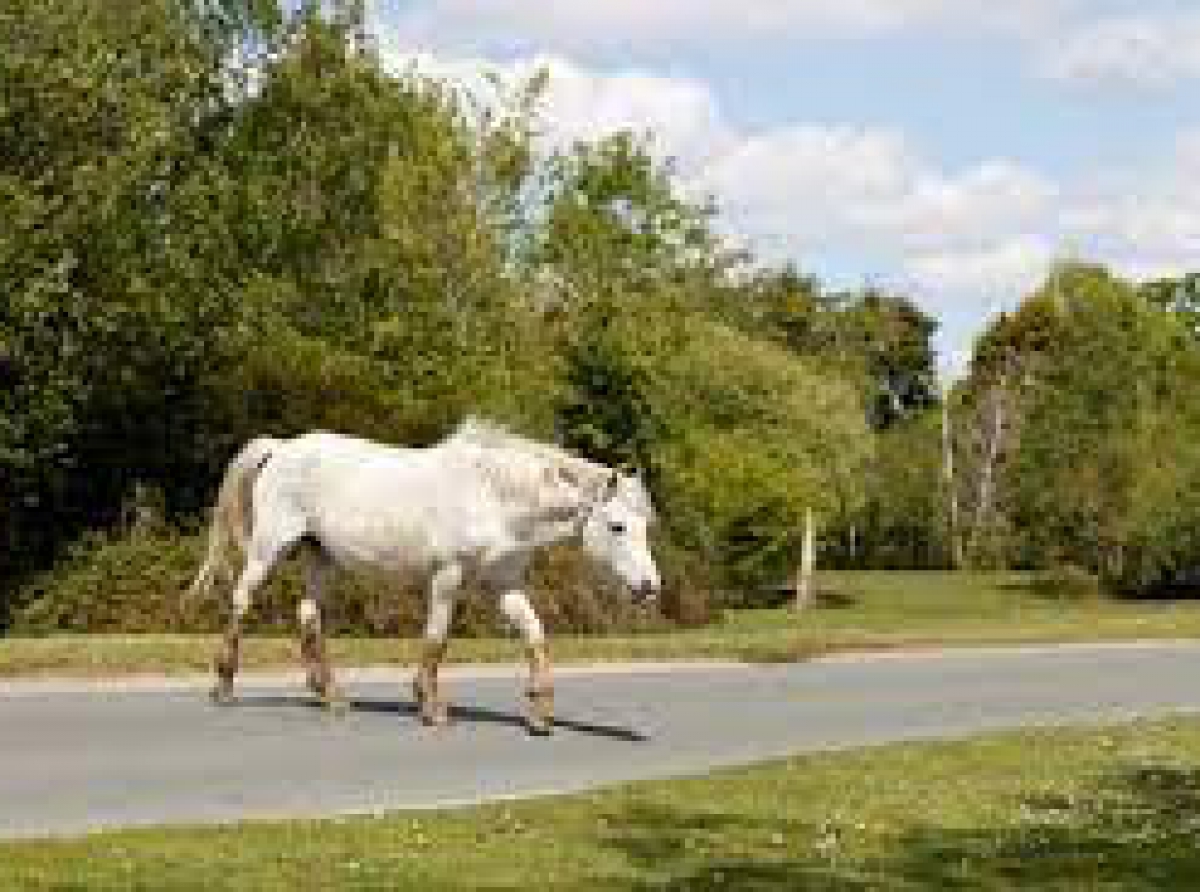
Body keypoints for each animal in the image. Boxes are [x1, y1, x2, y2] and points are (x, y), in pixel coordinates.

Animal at [188, 417, 662, 734]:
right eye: (617, 526)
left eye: (646, 526)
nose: (649, 588)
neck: (492, 495)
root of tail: (282, 447)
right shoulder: (446, 577)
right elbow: (437, 640)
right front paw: (431, 708)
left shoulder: (504, 586)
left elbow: (535, 635)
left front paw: (539, 715)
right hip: (270, 547)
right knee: (242, 600)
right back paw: (224, 687)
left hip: (321, 558)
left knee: (309, 616)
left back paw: (331, 697)